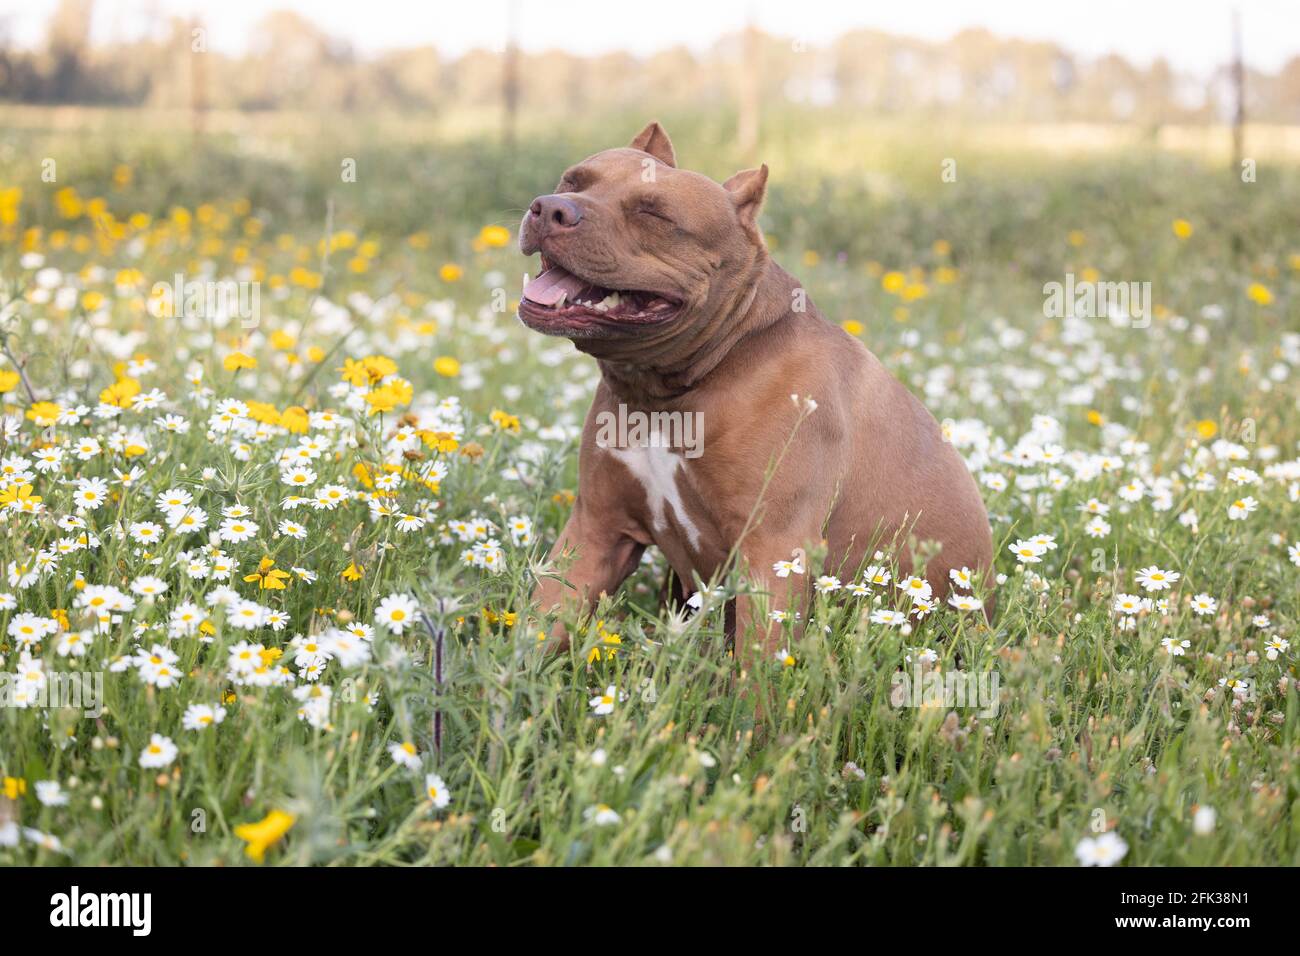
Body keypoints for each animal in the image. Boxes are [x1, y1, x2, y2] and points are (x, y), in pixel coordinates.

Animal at [512, 123, 987, 671]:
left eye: (654, 214)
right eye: (573, 180)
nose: (549, 208)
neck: (677, 387)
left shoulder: (773, 551)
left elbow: (755, 670)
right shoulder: (595, 530)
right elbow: (540, 624)